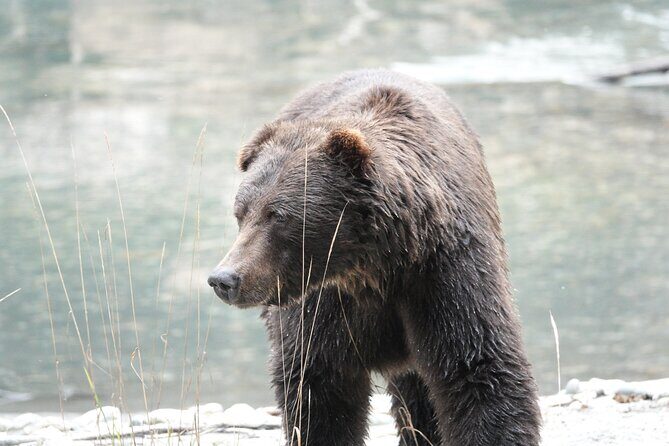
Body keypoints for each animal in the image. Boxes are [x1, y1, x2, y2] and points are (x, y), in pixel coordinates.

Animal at [208, 69, 541, 446]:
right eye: (241, 213)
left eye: (278, 216)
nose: (225, 279)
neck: (377, 265)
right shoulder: (326, 303)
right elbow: (319, 386)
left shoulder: (444, 270)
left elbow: (477, 367)